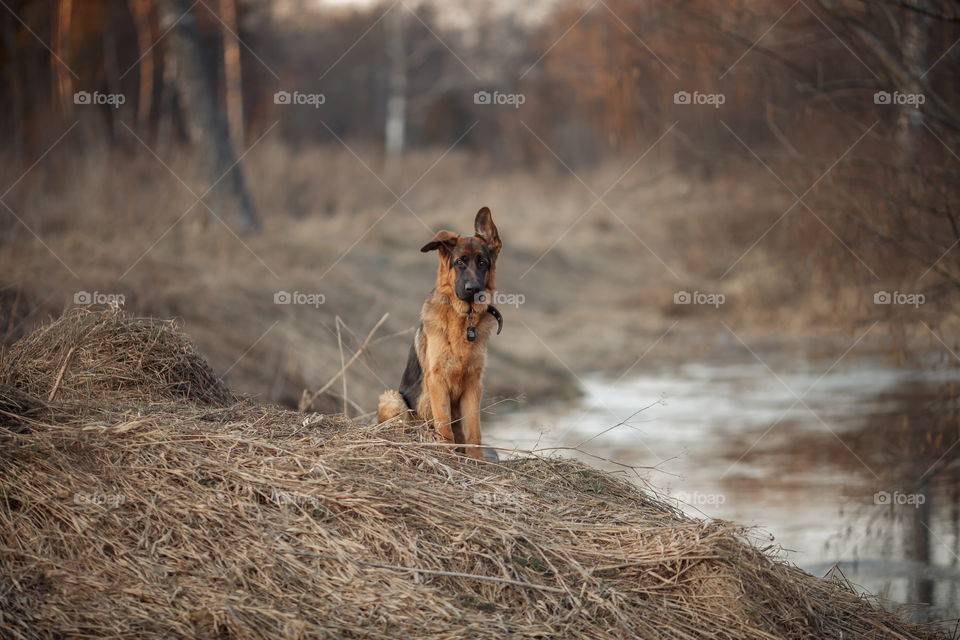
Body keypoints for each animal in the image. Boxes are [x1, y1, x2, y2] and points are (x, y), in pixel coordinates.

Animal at [378, 208, 506, 458]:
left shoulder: (474, 384)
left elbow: (474, 430)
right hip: (392, 398)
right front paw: (446, 453)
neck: (465, 319)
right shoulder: (437, 381)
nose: (473, 290)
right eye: (459, 262)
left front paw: (476, 460)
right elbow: (444, 425)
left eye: (483, 262)